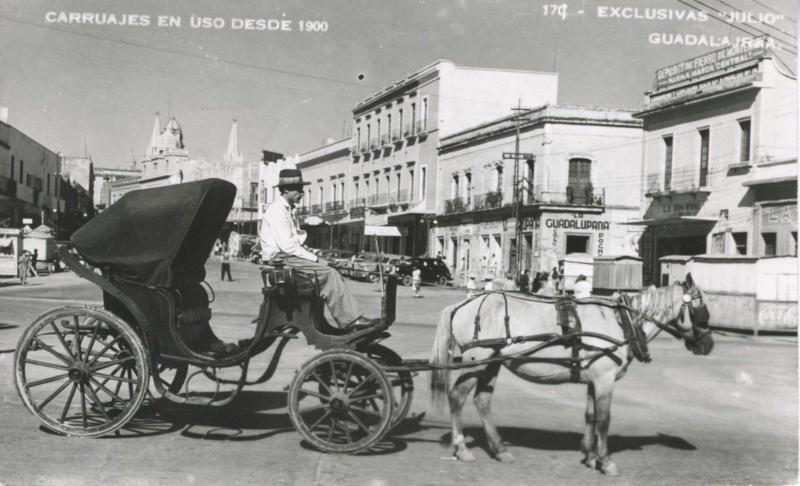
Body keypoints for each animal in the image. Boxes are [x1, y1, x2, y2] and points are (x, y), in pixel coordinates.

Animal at [432, 272, 712, 476]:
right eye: (702, 310)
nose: (709, 345)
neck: (621, 321)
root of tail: (463, 304)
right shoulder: (604, 380)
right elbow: (604, 420)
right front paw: (605, 461)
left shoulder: (593, 380)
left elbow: (590, 416)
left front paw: (590, 456)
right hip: (476, 362)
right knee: (457, 397)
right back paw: (462, 447)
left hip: (492, 363)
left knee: (482, 401)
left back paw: (500, 449)